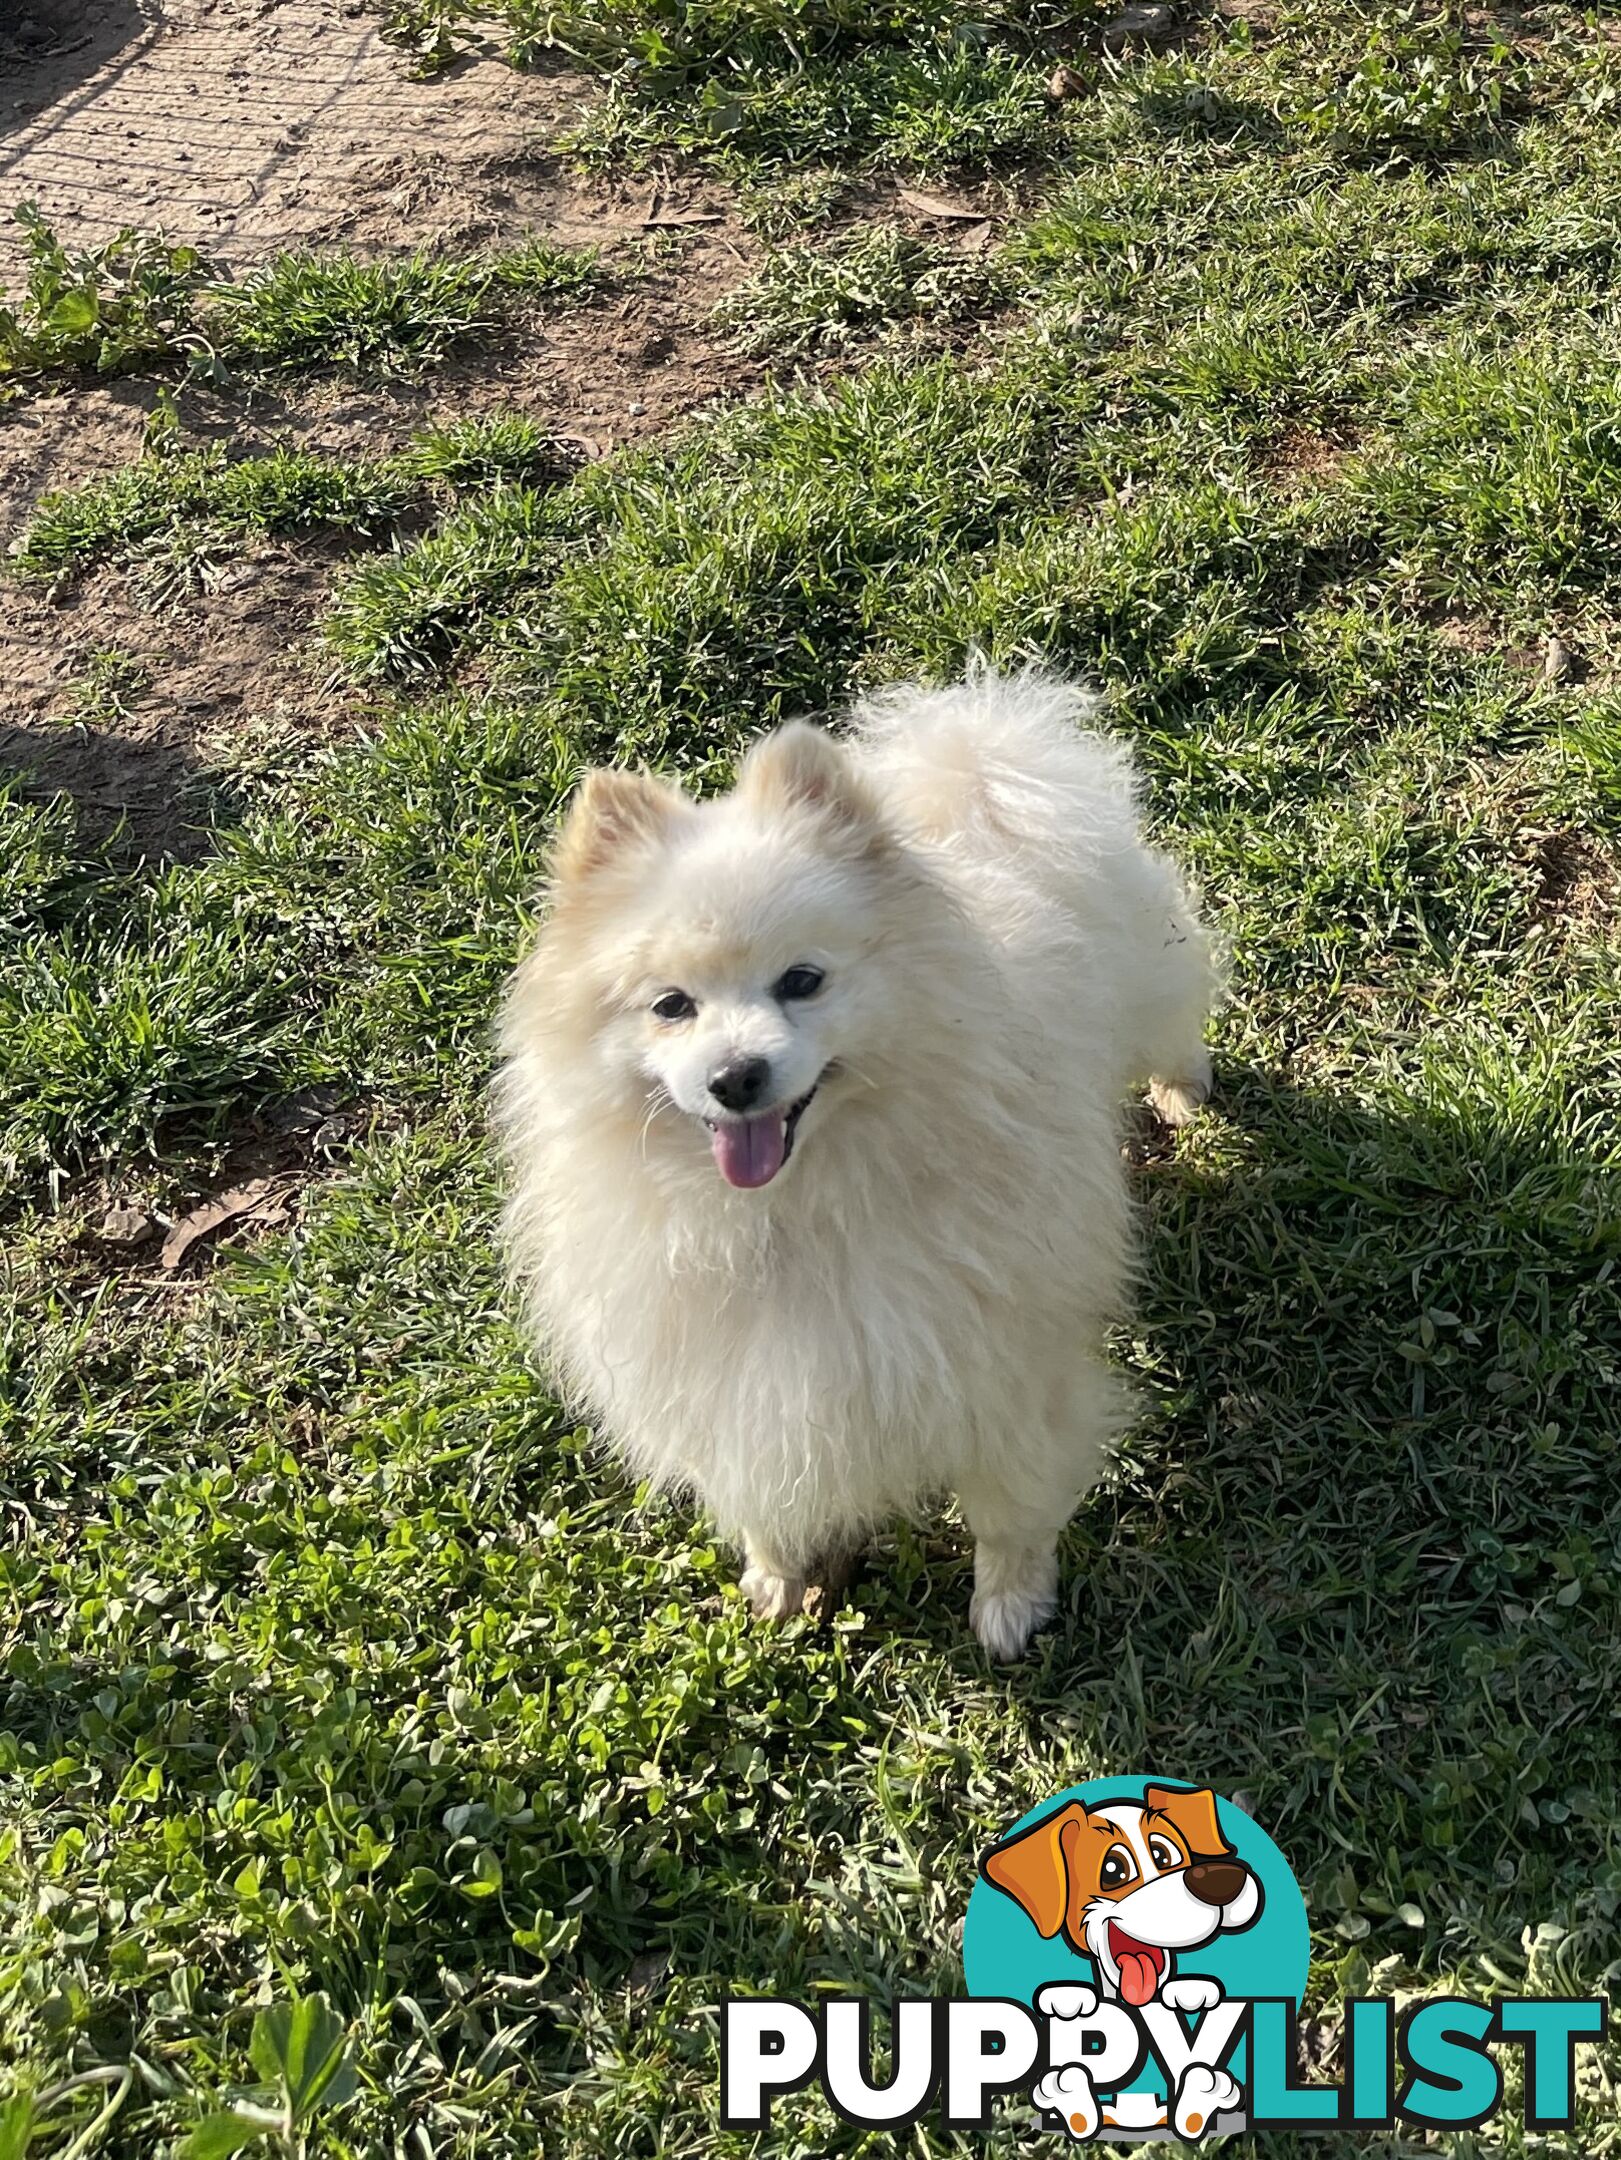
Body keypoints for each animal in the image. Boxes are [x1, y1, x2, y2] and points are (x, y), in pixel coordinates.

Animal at [499, 665, 1218, 1658]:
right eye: (671, 1005)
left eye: (802, 981)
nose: (735, 1077)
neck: (791, 1211)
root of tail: (974, 761)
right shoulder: (722, 1379)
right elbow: (759, 1493)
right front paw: (777, 1578)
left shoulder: (1003, 1366)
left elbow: (1009, 1507)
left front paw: (1009, 1604)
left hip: (1152, 975)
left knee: (1176, 1027)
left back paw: (1182, 1092)